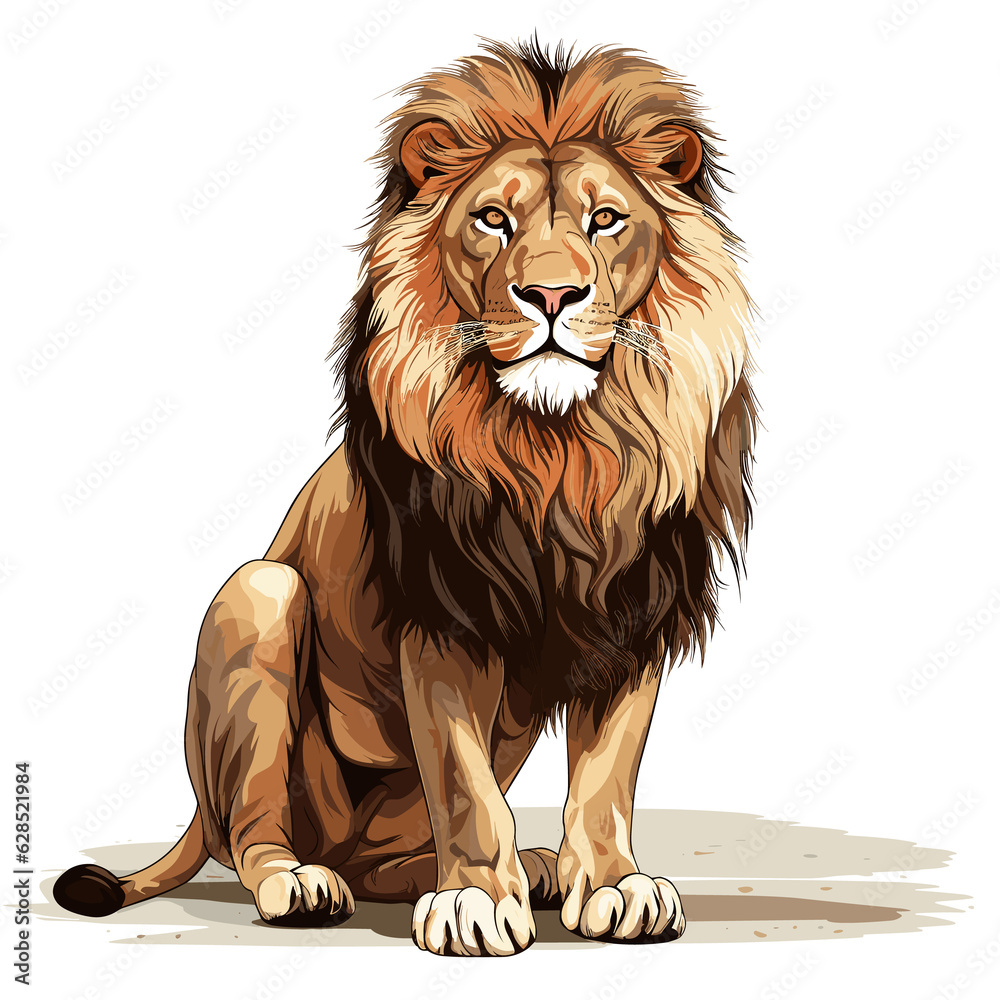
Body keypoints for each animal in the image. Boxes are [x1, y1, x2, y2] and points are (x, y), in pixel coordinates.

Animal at [54, 38, 757, 956]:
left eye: (606, 220)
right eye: (492, 220)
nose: (552, 296)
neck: (561, 450)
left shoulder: (633, 611)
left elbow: (607, 778)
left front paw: (612, 885)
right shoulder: (445, 613)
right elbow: (461, 784)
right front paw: (473, 903)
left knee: (384, 860)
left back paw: (531, 869)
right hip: (260, 599)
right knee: (251, 832)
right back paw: (300, 884)